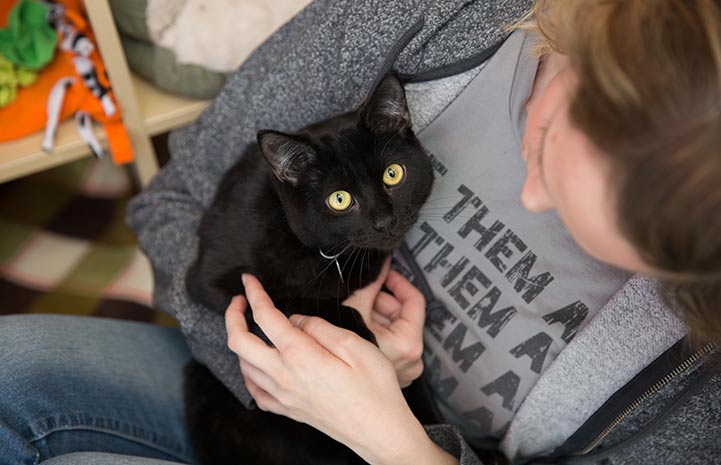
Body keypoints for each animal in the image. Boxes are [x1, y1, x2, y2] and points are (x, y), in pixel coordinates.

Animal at [184, 74, 434, 464]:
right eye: (340, 199)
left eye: (393, 174)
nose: (384, 221)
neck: (329, 255)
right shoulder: (211, 283)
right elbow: (288, 299)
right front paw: (363, 337)